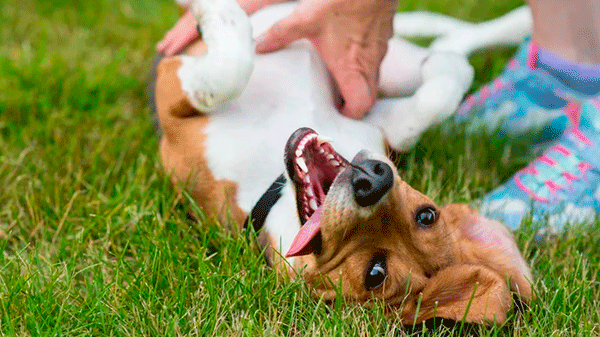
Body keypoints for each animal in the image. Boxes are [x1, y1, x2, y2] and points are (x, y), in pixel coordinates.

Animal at [151, 0, 536, 326]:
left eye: (375, 274)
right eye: (427, 215)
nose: (374, 181)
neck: (275, 180)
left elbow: (226, 74)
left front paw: (215, 13)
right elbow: (433, 100)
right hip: (385, 62)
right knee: (447, 41)